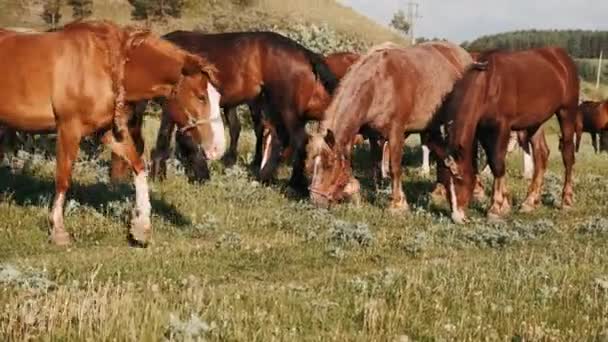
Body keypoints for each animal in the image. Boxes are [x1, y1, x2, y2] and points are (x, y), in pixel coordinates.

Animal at [0, 20, 224, 246]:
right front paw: (58, 231)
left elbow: (138, 166)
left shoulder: (107, 132)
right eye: (201, 96)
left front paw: (141, 227)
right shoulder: (68, 129)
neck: (104, 65)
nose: (218, 148)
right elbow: (63, 178)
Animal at [306, 41, 472, 210]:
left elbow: (395, 168)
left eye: (329, 164)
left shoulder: (396, 133)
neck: (378, 86)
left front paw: (398, 203)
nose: (315, 200)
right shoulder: (371, 134)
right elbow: (374, 163)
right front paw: (366, 189)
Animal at [442, 47, 580, 224]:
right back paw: (529, 202)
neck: (488, 83)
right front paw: (505, 204)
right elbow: (494, 163)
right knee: (541, 155)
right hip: (535, 122)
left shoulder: (502, 127)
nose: (457, 217)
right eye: (445, 181)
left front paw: (495, 207)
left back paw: (566, 200)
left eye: (459, 178)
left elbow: (497, 163)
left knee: (568, 155)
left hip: (566, 112)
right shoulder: (483, 130)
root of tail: (561, 57)